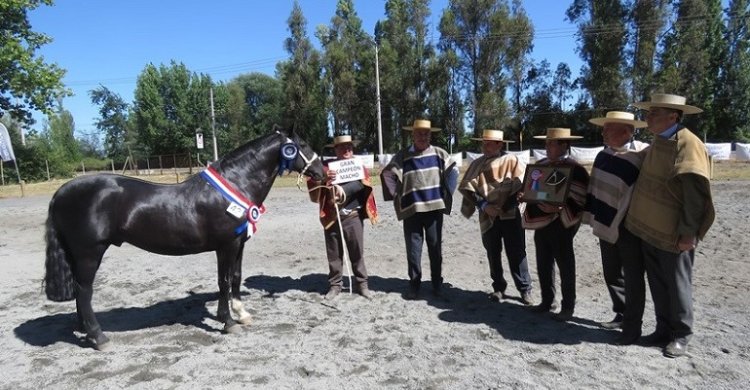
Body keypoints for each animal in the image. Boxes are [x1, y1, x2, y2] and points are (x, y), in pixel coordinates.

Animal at [41, 128, 324, 350]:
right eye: (303, 146)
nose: (322, 171)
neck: (235, 184)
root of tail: (60, 193)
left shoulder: (239, 243)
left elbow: (235, 277)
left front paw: (242, 314)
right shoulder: (226, 246)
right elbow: (223, 281)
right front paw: (228, 322)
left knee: (80, 292)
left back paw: (84, 330)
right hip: (89, 253)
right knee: (84, 291)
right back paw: (99, 337)